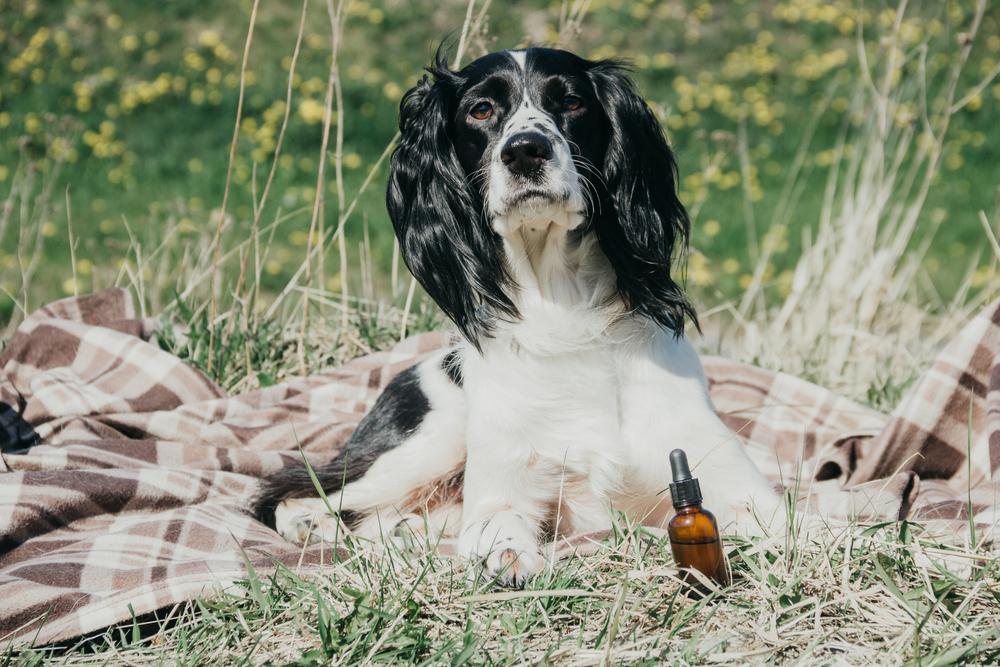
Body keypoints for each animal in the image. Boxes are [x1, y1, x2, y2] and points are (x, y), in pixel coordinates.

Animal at [254, 47, 784, 588]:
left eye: (571, 101)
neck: (564, 308)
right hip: (427, 440)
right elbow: (499, 524)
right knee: (288, 491)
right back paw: (313, 525)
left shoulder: (734, 486)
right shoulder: (501, 485)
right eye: (481, 109)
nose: (525, 151)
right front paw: (508, 556)